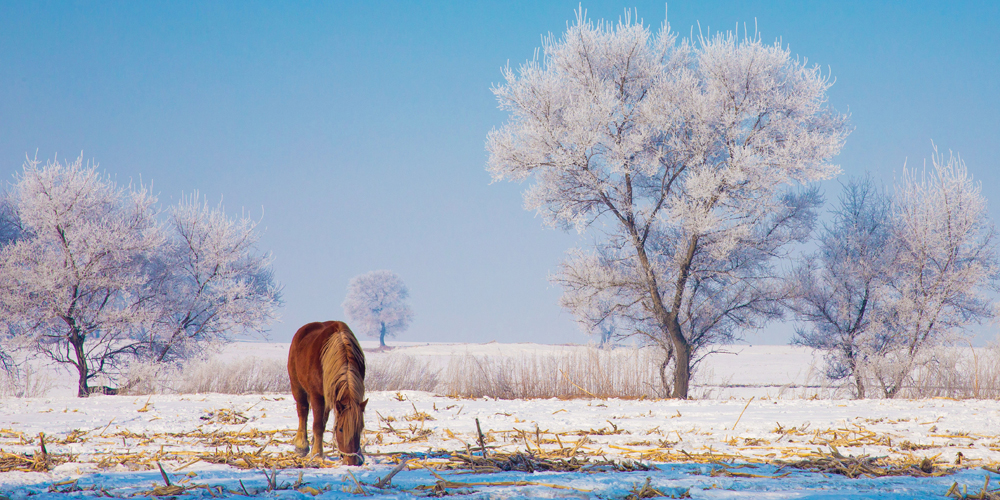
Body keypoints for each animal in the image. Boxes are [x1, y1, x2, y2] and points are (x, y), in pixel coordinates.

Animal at [288, 320, 370, 464]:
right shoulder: (317, 396)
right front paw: (317, 454)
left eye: (360, 429)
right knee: (303, 411)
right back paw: (301, 446)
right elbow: (317, 425)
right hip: (297, 386)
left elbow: (321, 423)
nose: (352, 462)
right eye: (341, 429)